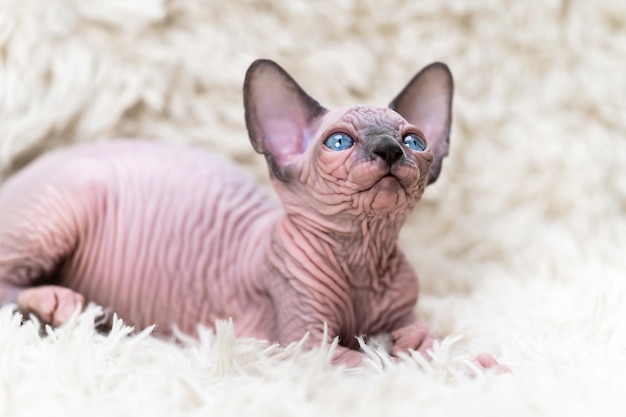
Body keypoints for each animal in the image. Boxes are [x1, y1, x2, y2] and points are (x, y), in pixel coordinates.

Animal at [0, 58, 502, 368]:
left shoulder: (399, 316)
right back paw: (57, 302)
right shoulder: (308, 346)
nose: (390, 150)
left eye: (414, 141)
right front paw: (466, 370)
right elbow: (386, 367)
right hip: (63, 210)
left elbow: (424, 340)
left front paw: (431, 350)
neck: (363, 258)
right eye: (339, 141)